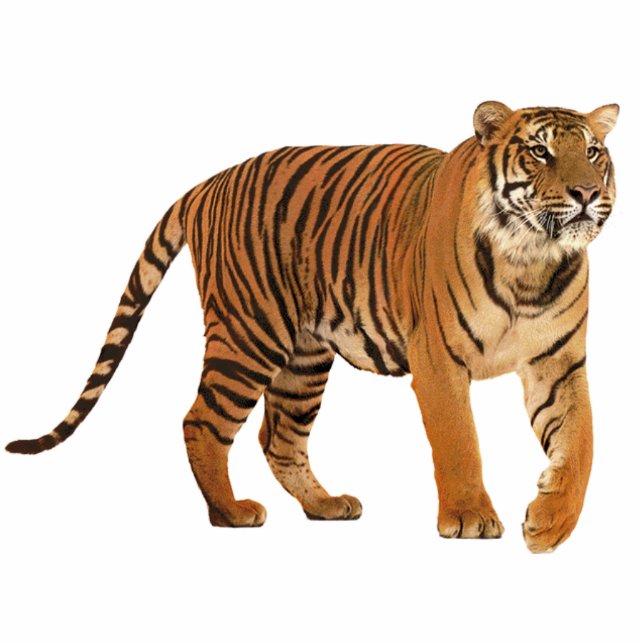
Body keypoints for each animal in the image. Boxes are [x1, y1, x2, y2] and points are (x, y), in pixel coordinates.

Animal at [6, 101, 619, 553]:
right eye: (539, 151)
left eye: (592, 152)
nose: (587, 193)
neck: (531, 261)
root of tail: (209, 182)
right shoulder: (439, 362)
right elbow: (459, 441)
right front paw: (470, 517)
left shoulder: (560, 364)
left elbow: (581, 444)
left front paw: (551, 524)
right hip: (248, 334)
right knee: (201, 421)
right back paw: (231, 512)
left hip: (303, 358)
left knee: (278, 438)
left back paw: (325, 506)